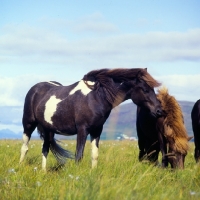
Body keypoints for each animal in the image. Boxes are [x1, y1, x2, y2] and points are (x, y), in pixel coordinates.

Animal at [19, 67, 162, 170]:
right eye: (144, 89)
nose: (159, 111)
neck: (96, 97)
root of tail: (35, 88)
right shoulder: (82, 130)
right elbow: (79, 155)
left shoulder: (96, 130)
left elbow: (95, 155)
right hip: (28, 124)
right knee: (25, 147)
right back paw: (20, 166)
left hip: (48, 129)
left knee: (45, 149)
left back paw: (43, 172)